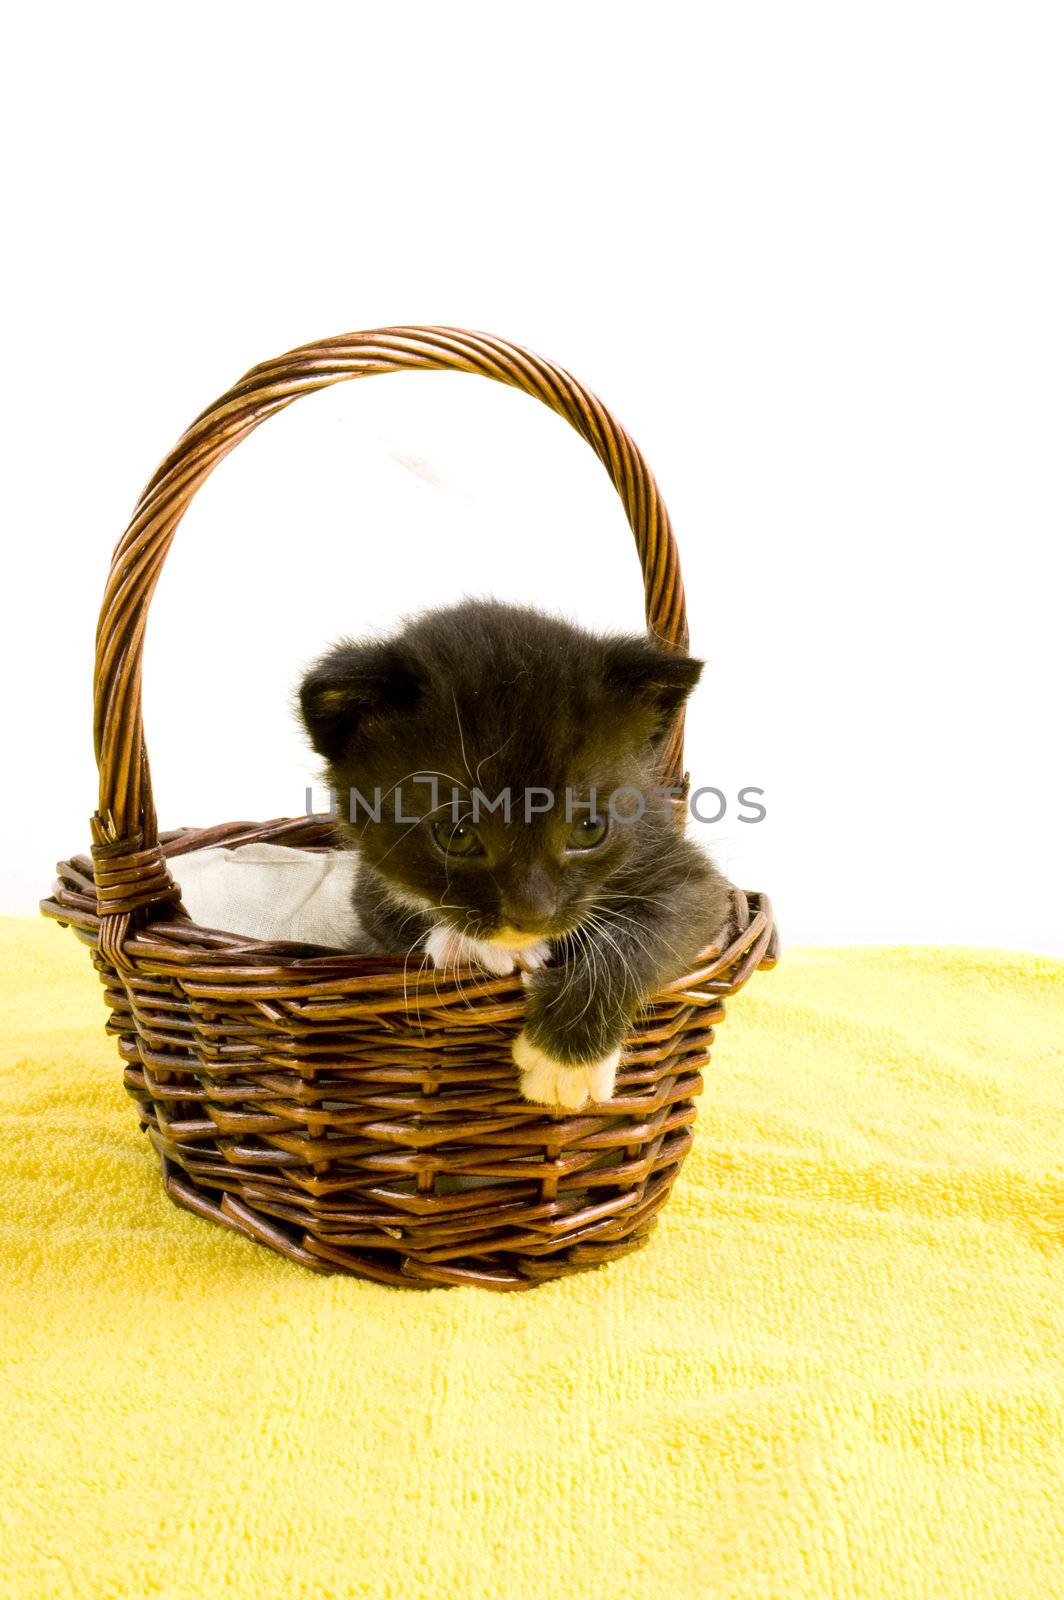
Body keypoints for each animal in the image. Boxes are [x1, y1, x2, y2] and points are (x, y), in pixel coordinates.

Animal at [299, 601, 729, 1113]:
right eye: (457, 836)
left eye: (589, 829)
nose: (532, 915)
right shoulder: (368, 882)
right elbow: (386, 919)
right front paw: (475, 944)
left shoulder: (677, 864)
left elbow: (654, 931)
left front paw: (564, 1060)